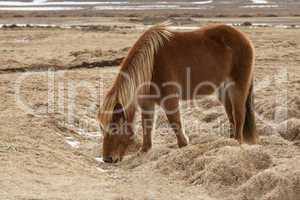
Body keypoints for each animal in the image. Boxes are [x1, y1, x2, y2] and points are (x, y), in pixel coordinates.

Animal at [98, 22, 258, 162]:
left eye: (114, 129)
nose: (107, 159)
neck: (151, 65)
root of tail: (244, 38)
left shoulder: (170, 100)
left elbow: (174, 122)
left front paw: (183, 146)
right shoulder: (147, 102)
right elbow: (146, 125)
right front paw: (144, 150)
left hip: (237, 88)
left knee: (239, 115)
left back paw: (237, 143)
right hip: (223, 91)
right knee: (231, 115)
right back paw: (228, 142)